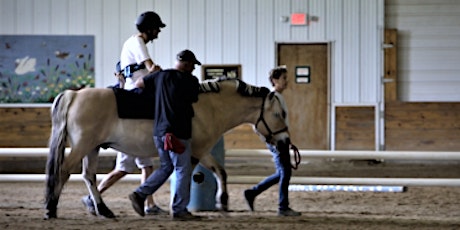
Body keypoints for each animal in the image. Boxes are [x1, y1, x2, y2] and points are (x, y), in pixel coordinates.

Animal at [44, 77, 292, 219]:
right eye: (278, 114)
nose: (285, 142)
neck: (207, 107)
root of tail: (74, 94)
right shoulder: (194, 153)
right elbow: (185, 177)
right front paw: (181, 208)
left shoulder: (202, 150)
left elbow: (220, 171)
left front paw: (223, 201)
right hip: (83, 146)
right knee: (63, 171)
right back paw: (51, 208)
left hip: (92, 148)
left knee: (89, 176)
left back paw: (104, 210)